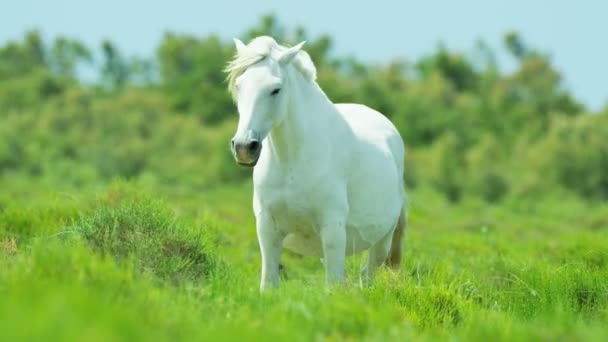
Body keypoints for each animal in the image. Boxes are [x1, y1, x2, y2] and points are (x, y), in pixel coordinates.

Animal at [226, 36, 406, 290]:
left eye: (275, 89)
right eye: (240, 86)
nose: (244, 147)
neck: (293, 162)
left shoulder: (332, 229)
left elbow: (333, 286)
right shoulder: (268, 227)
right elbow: (269, 283)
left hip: (381, 240)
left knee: (368, 275)